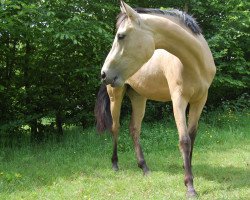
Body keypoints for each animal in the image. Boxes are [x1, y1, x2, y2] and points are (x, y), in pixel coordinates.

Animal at [94, 0, 216, 197]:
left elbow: (192, 137)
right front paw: (189, 186)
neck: (194, 62)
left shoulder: (200, 100)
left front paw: (187, 168)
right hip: (116, 95)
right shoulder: (178, 100)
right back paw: (115, 164)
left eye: (121, 36)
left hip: (139, 97)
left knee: (134, 129)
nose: (104, 74)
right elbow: (184, 140)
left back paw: (144, 167)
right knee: (115, 127)